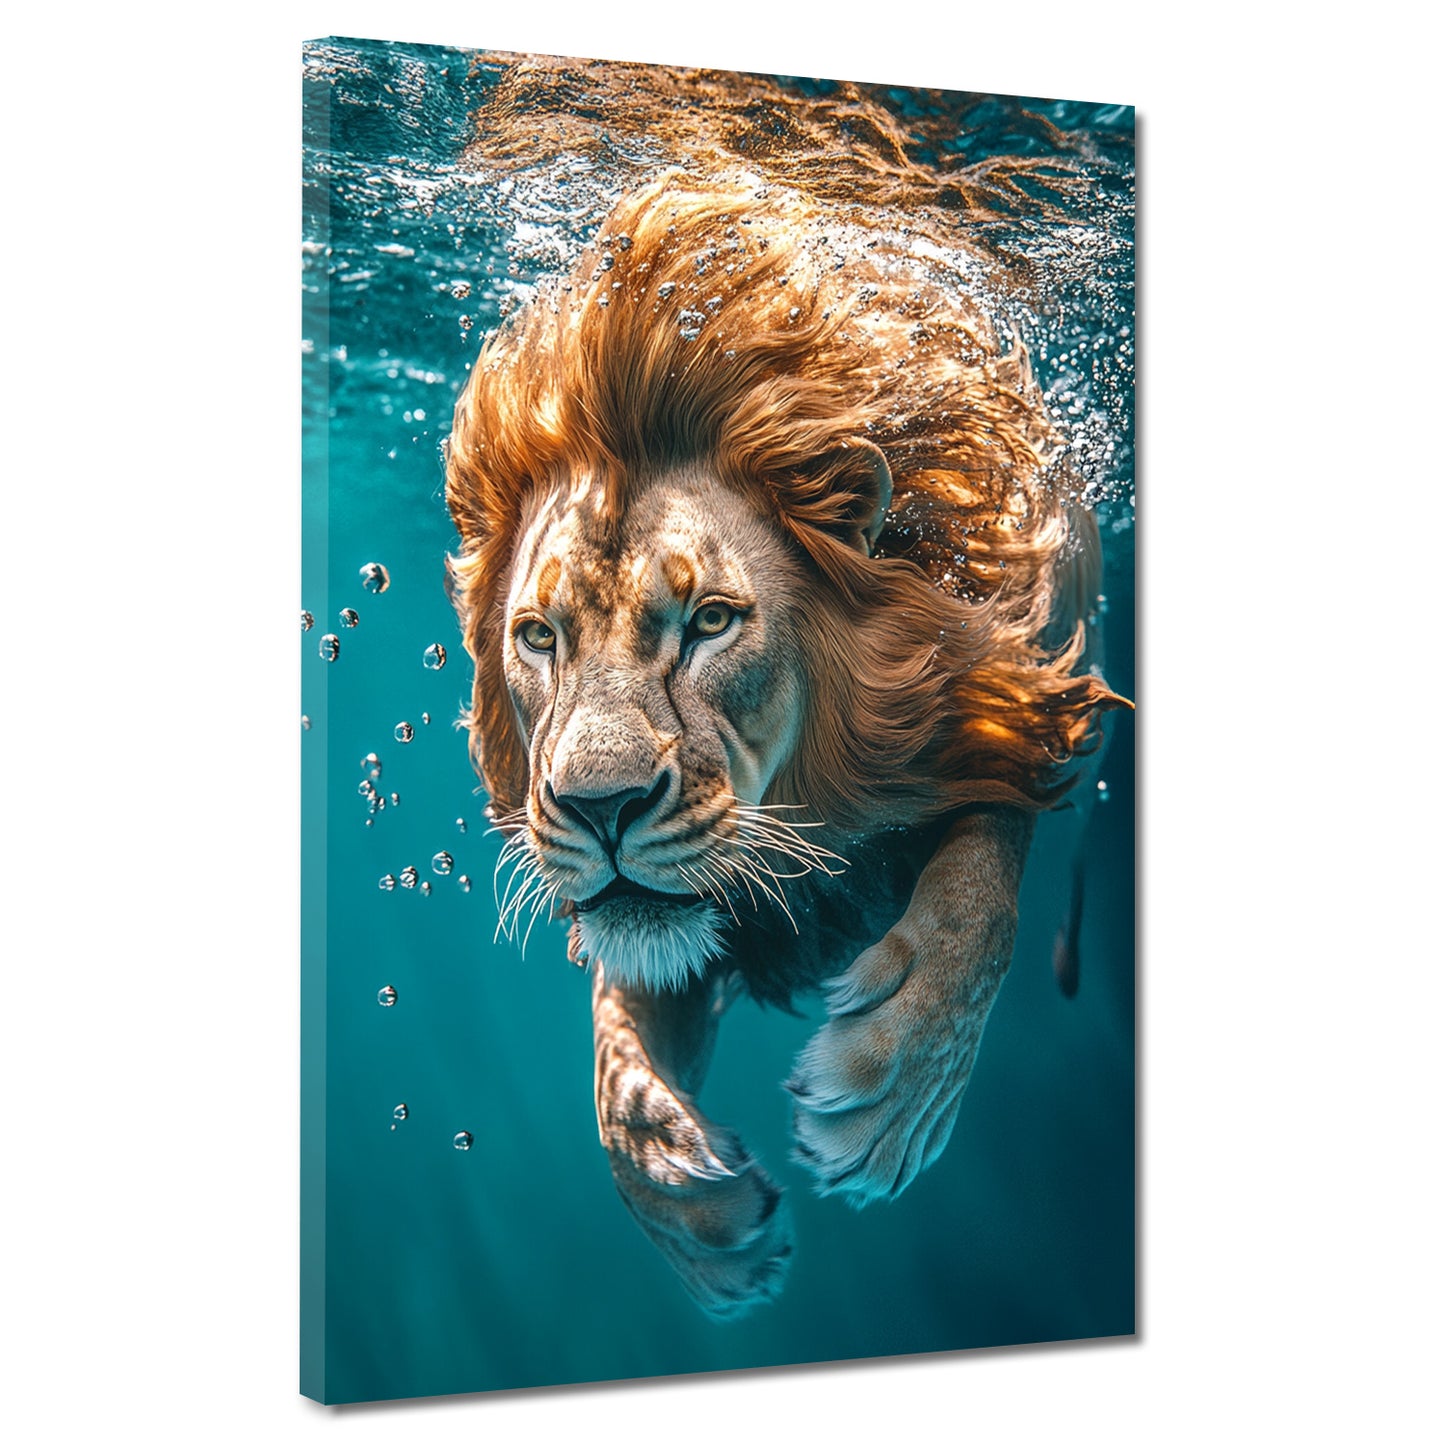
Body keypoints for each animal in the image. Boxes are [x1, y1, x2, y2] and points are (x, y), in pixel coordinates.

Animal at [444, 169, 1128, 1318]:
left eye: (711, 621)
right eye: (538, 636)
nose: (598, 806)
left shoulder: (1006, 682)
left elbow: (981, 878)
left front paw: (896, 1083)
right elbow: (615, 1043)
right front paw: (685, 1194)